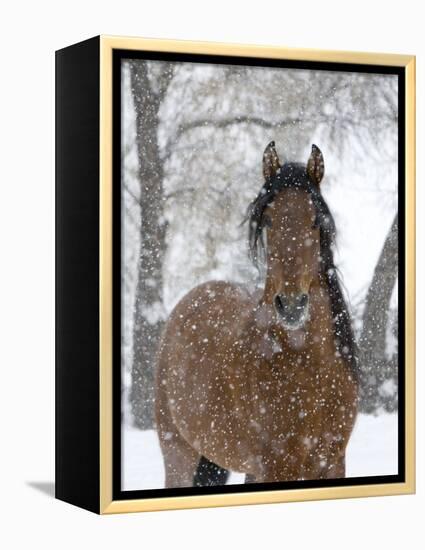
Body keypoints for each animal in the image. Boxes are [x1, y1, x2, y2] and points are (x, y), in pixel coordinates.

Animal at [154, 141, 356, 488]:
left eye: (315, 221)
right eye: (269, 221)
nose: (291, 305)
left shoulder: (332, 463)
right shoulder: (276, 466)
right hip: (179, 453)